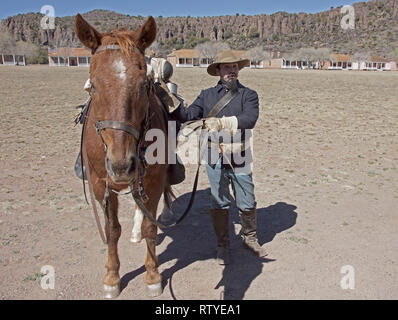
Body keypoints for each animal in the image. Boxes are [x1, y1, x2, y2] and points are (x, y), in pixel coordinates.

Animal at [74, 13, 171, 298]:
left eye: (143, 85)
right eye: (93, 86)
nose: (121, 166)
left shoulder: (153, 180)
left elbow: (151, 226)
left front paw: (153, 276)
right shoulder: (100, 184)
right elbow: (111, 230)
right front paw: (112, 277)